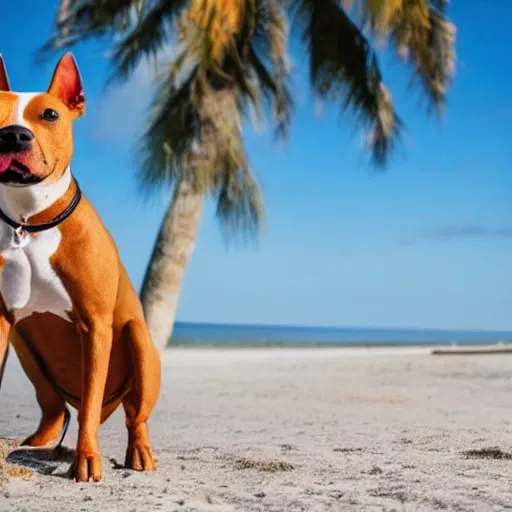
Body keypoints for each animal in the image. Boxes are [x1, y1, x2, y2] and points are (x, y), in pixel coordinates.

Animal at [0, 54, 161, 482]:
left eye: (50, 114)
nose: (13, 136)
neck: (31, 222)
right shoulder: (1, 320)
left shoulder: (95, 324)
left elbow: (88, 405)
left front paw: (87, 458)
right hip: (24, 345)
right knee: (54, 409)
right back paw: (32, 443)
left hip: (139, 341)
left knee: (134, 417)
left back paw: (140, 452)